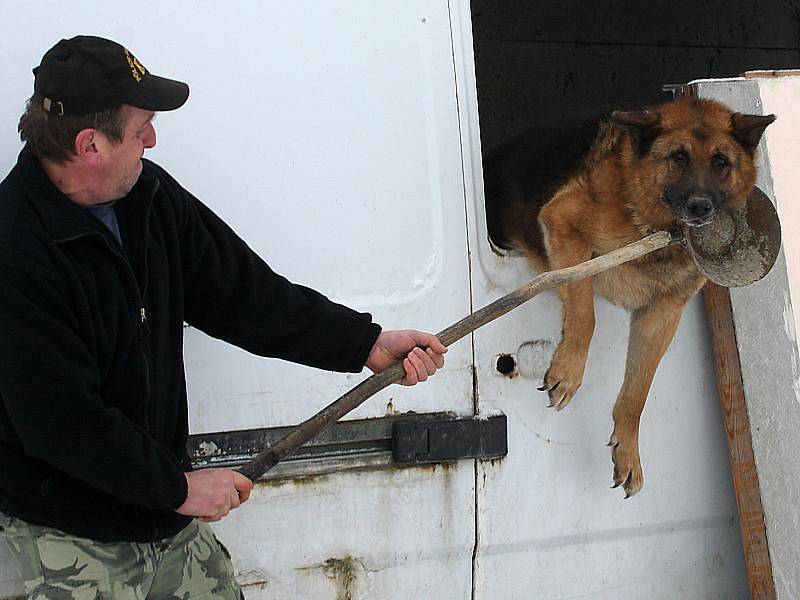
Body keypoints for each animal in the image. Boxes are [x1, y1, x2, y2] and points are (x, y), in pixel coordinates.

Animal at [484, 97, 780, 496]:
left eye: (721, 162)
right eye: (679, 157)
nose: (700, 206)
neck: (654, 228)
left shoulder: (661, 315)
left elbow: (639, 388)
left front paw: (627, 448)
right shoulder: (564, 223)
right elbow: (585, 315)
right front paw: (569, 370)